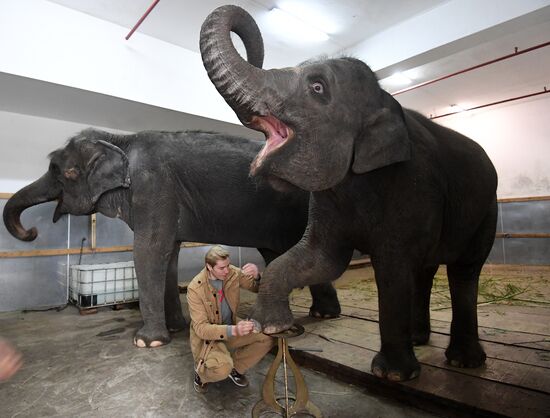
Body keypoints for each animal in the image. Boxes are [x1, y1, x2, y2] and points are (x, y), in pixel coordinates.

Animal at [3, 129, 340, 348]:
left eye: (63, 172)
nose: (32, 232)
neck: (119, 140)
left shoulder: (154, 185)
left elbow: (150, 250)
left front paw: (146, 343)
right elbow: (169, 253)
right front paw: (177, 329)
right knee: (280, 253)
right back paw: (322, 314)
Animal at [199, 4, 500, 382]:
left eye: (316, 86)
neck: (386, 101)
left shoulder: (411, 187)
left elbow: (391, 269)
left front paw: (392, 374)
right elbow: (321, 258)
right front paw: (271, 328)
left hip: (487, 211)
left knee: (465, 272)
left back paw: (462, 361)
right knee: (426, 270)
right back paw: (419, 339)